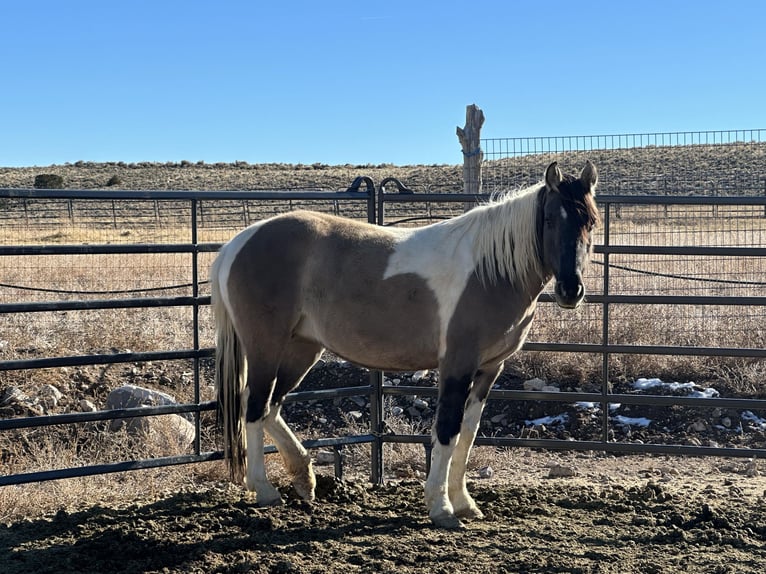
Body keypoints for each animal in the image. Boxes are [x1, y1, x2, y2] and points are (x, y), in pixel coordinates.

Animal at [213, 162, 604, 532]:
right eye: (550, 219)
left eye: (591, 221)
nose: (571, 291)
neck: (489, 270)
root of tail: (236, 244)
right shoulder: (457, 364)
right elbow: (447, 430)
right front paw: (442, 508)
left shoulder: (489, 369)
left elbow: (468, 434)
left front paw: (464, 502)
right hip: (266, 346)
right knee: (254, 406)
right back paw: (265, 490)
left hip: (301, 349)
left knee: (271, 406)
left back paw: (303, 479)